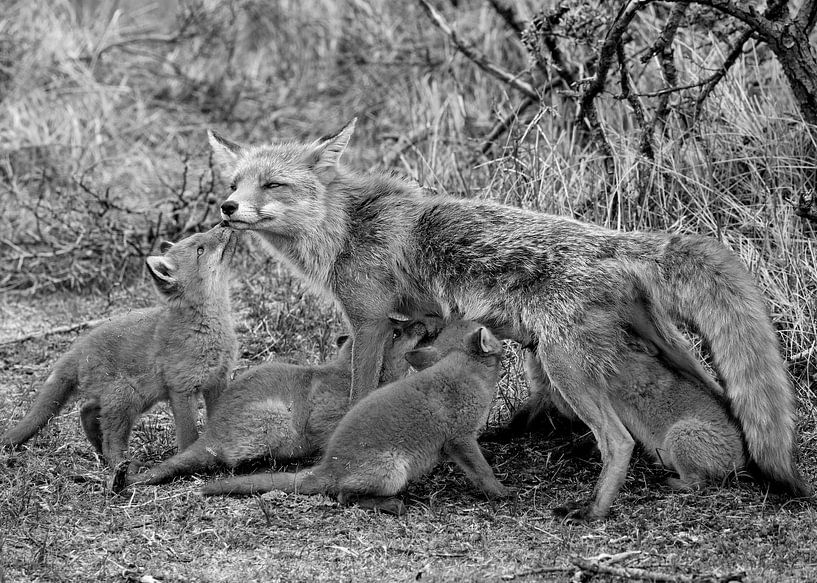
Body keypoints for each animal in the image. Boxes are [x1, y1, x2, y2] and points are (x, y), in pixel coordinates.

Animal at [1, 225, 238, 468]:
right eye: (200, 250)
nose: (224, 223)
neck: (207, 329)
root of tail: (78, 348)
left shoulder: (218, 380)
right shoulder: (182, 389)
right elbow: (189, 436)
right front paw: (188, 460)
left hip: (136, 399)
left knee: (87, 412)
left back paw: (101, 453)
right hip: (126, 398)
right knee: (110, 439)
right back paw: (122, 465)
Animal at [113, 318, 432, 491]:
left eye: (398, 323)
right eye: (397, 333)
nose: (423, 323)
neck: (343, 375)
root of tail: (211, 434)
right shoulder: (324, 417)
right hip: (275, 419)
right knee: (230, 462)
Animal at [200, 320, 510, 516]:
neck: (464, 369)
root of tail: (328, 465)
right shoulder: (461, 438)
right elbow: (483, 472)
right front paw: (502, 492)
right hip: (392, 473)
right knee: (343, 496)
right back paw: (391, 505)